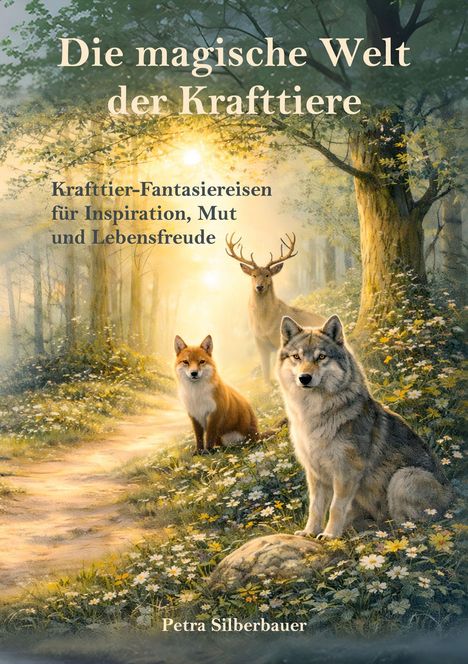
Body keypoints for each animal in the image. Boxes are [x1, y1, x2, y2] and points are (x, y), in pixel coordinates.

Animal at [226, 232, 324, 383]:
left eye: (268, 274)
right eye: (253, 275)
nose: (259, 287)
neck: (265, 324)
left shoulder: (279, 341)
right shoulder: (259, 341)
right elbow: (266, 372)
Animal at [277, 314, 453, 539]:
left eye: (321, 357)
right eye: (297, 357)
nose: (304, 378)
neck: (315, 414)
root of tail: (454, 498)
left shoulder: (346, 473)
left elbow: (335, 508)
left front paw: (330, 536)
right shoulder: (315, 474)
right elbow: (315, 508)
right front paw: (310, 532)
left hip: (403, 478)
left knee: (411, 527)